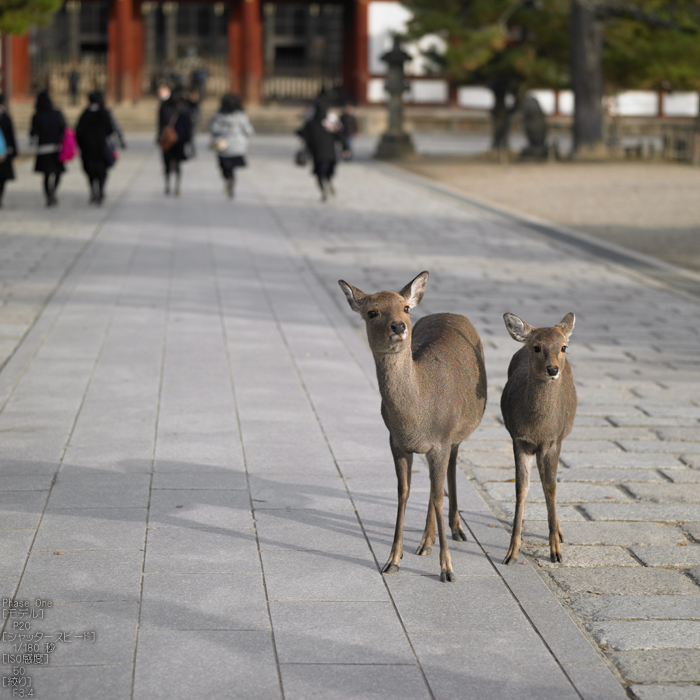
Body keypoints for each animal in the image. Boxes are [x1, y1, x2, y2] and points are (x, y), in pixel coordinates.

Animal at [340, 270, 486, 584]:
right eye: (372, 312)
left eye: (405, 307)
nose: (398, 325)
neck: (416, 418)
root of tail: (452, 313)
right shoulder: (396, 442)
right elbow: (404, 492)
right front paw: (392, 560)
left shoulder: (441, 441)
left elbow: (438, 495)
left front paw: (448, 569)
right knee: (433, 486)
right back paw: (425, 543)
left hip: (459, 433)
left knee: (448, 472)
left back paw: (457, 530)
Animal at [500, 314, 576, 568]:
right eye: (536, 347)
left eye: (563, 347)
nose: (552, 369)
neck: (538, 430)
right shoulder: (518, 440)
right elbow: (521, 488)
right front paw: (511, 552)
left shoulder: (552, 442)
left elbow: (550, 487)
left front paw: (556, 553)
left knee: (548, 484)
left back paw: (559, 534)